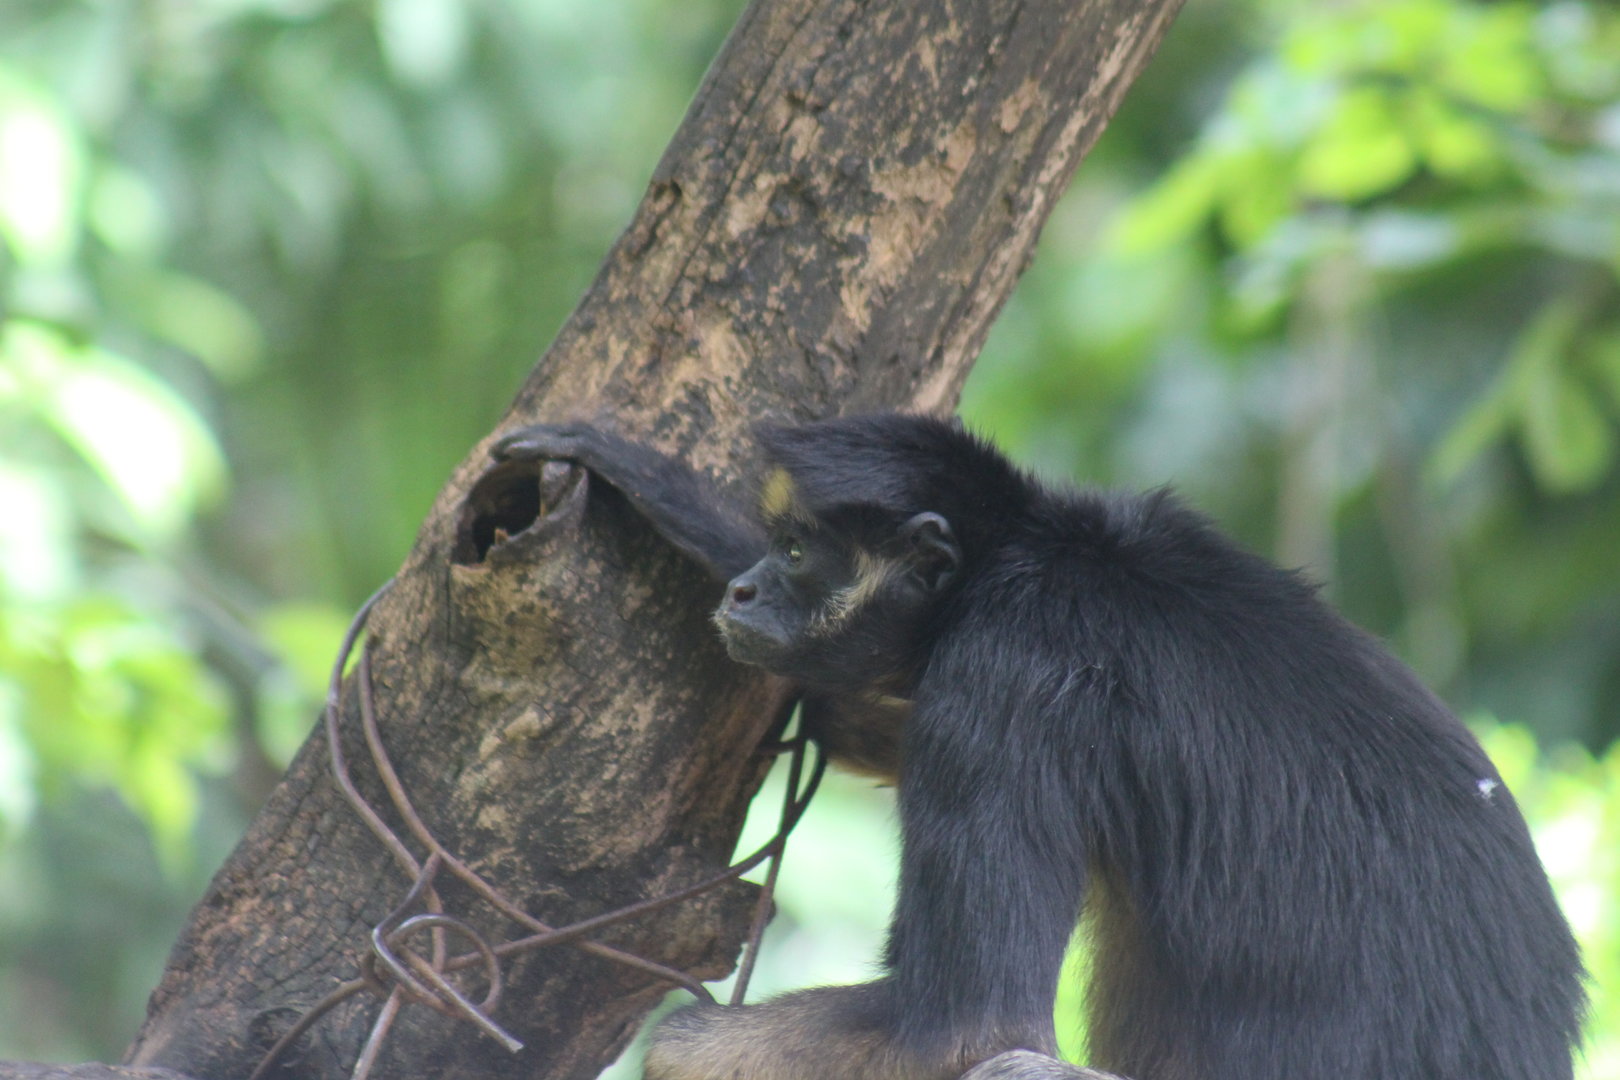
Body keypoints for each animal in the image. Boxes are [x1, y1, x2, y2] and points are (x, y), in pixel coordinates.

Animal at [490, 414, 1584, 1080]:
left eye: (797, 551)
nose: (745, 587)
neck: (1030, 552)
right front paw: (672, 499)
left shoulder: (1005, 669)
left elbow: (968, 1028)